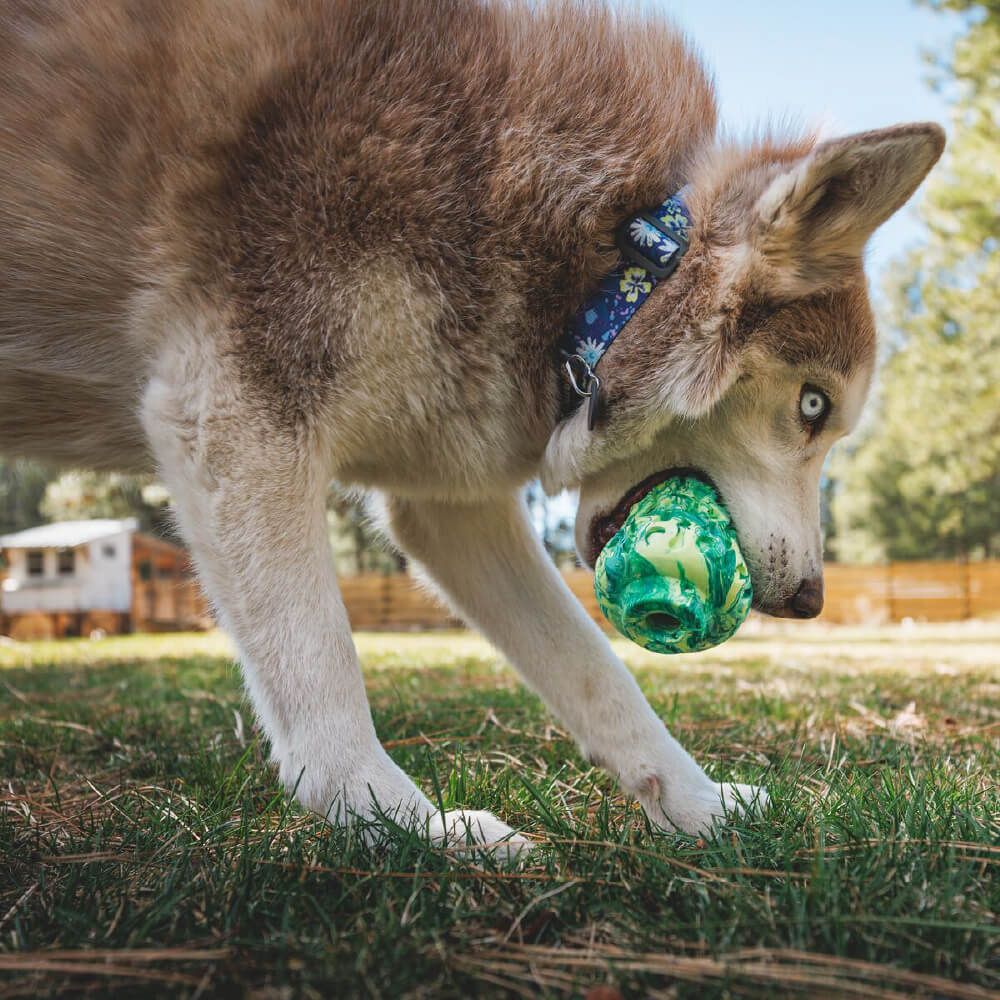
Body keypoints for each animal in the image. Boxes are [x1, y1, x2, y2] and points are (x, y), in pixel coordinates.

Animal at [0, 1, 944, 860]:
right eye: (814, 406)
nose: (812, 599)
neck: (606, 258)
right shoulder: (234, 413)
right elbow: (324, 683)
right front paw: (405, 828)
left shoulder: (449, 509)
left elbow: (600, 677)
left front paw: (700, 808)